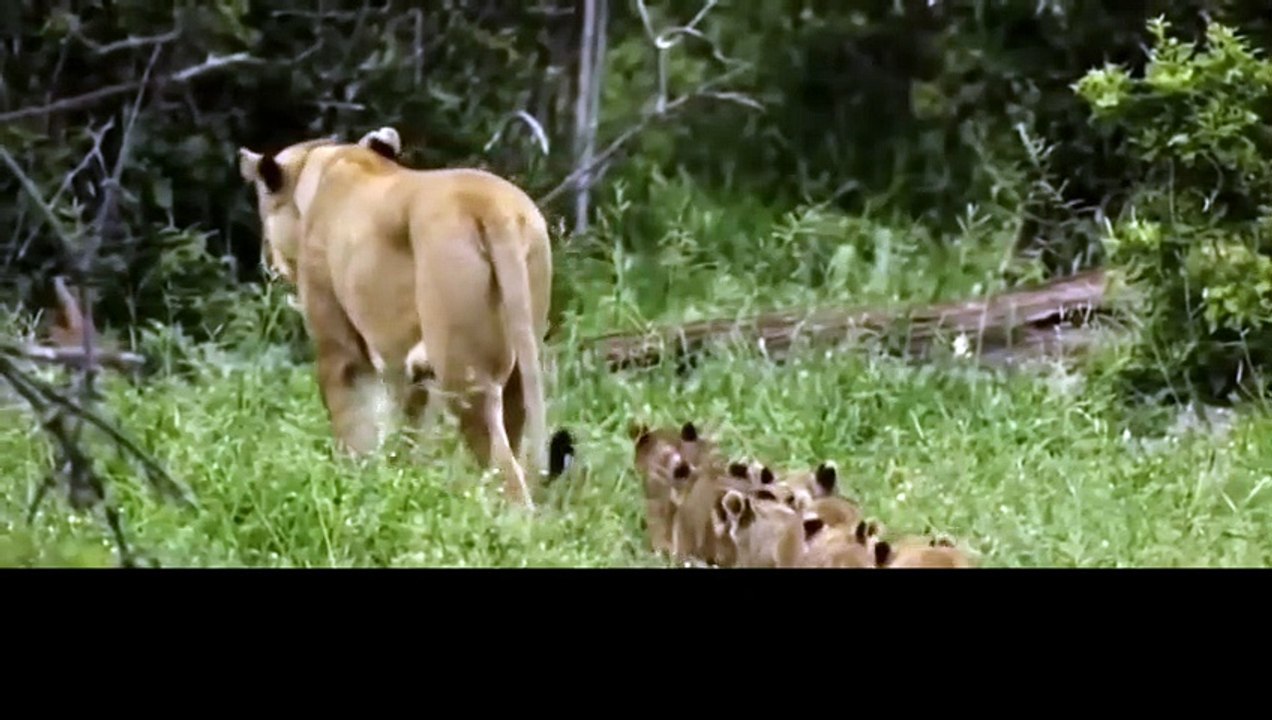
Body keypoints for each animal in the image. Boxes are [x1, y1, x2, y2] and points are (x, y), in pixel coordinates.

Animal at [236, 126, 555, 509]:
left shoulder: (340, 348)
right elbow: (406, 427)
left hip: (465, 378)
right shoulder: (410, 368)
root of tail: (489, 205)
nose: (265, 257)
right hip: (517, 365)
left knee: (504, 473)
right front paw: (403, 482)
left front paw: (352, 485)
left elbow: (353, 422)